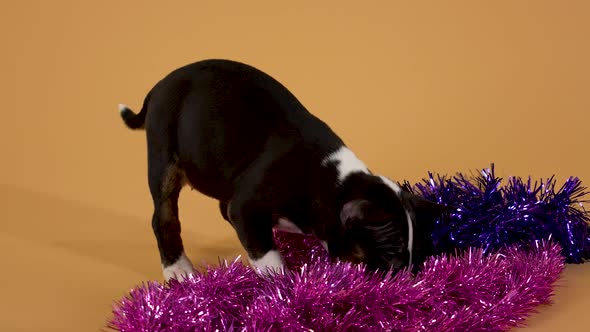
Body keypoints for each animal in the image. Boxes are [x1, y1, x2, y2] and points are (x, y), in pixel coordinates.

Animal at [118, 58, 446, 282]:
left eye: (419, 253)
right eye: (390, 257)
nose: (407, 281)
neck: (332, 183)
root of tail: (158, 87)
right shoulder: (246, 207)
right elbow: (267, 254)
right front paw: (281, 284)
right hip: (164, 155)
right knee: (164, 218)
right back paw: (178, 270)